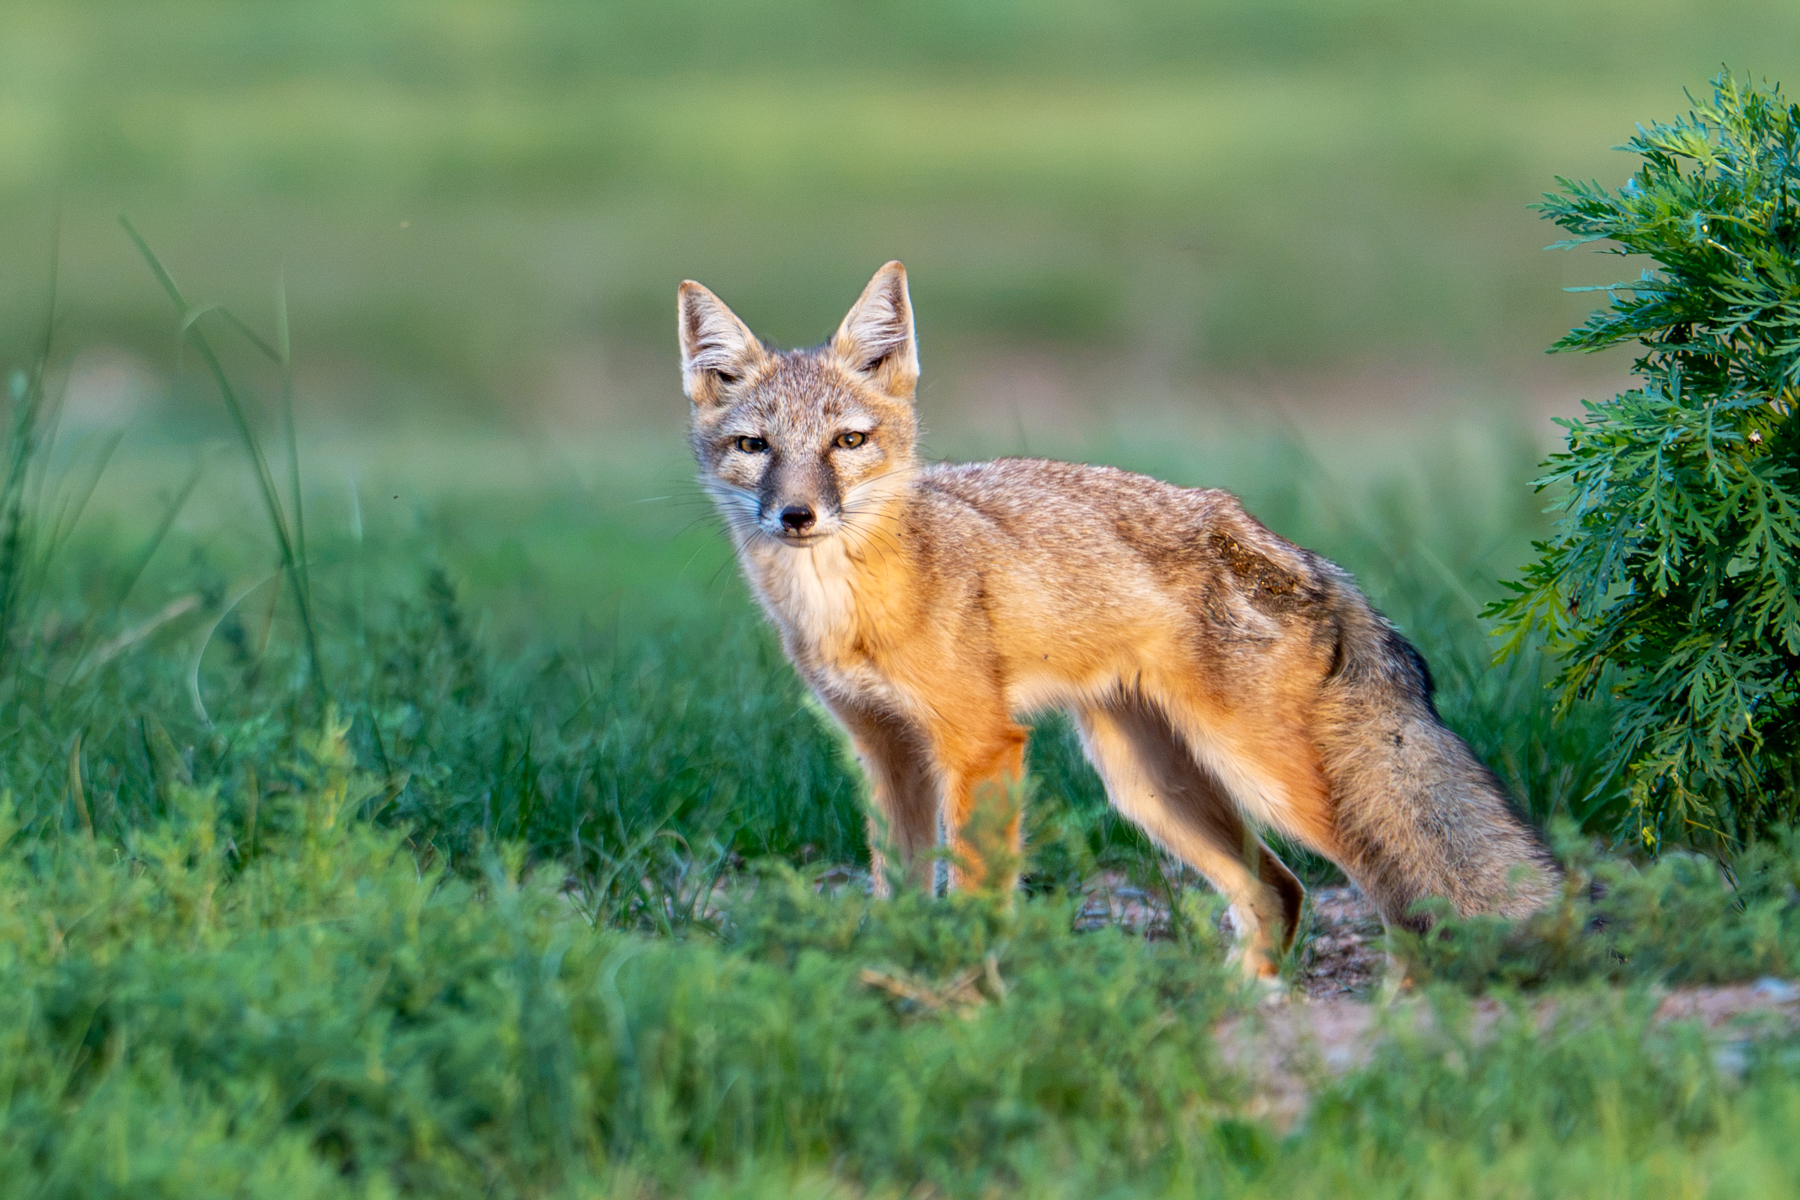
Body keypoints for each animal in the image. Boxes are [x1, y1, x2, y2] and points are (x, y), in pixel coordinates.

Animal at [678, 260, 1558, 979]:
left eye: (848, 441)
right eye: (754, 447)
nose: (797, 515)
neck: (853, 607)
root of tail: (1299, 553)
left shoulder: (981, 747)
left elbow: (975, 899)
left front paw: (970, 1001)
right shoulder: (886, 754)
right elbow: (899, 896)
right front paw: (899, 992)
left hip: (1275, 784)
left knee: (1395, 894)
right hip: (1151, 788)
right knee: (1279, 891)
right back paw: (1240, 1007)